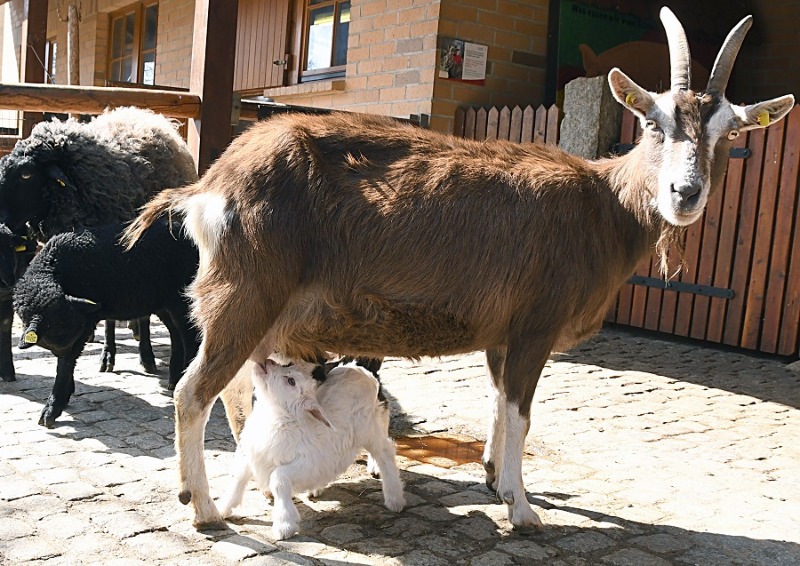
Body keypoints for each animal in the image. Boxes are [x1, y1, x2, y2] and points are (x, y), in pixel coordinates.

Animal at [12, 220, 200, 428]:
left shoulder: (85, 323)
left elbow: (65, 366)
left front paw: (52, 408)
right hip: (163, 301)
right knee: (177, 334)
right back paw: (175, 379)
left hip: (182, 298)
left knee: (191, 338)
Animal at [125, 6, 792, 532]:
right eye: (654, 121)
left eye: (730, 134)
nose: (685, 193)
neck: (603, 207)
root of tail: (213, 184)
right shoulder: (535, 324)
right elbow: (522, 411)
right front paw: (522, 509)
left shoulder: (503, 333)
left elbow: (499, 401)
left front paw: (496, 479)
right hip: (245, 294)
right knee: (194, 391)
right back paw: (202, 508)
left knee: (239, 389)